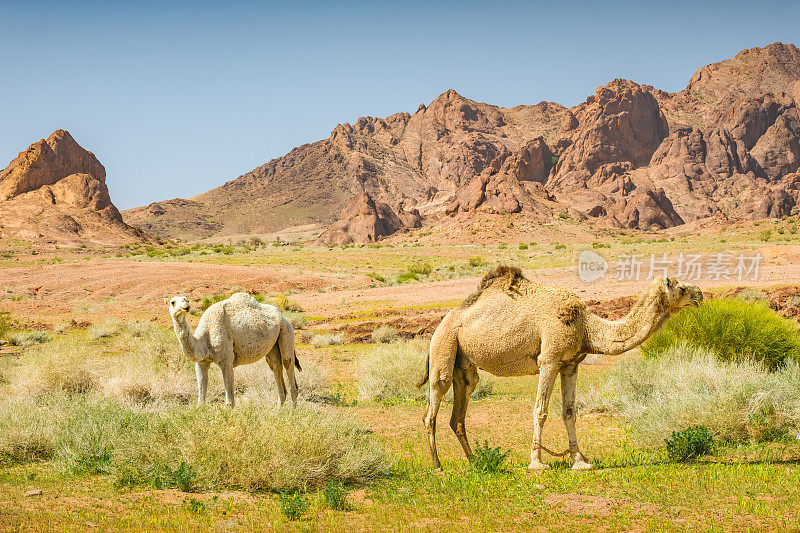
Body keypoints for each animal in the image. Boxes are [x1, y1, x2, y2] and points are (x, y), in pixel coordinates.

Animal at [165, 294, 300, 406]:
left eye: (187, 299)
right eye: (172, 302)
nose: (186, 305)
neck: (204, 337)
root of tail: (282, 316)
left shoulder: (226, 361)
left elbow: (230, 401)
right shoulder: (202, 362)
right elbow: (201, 400)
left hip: (286, 331)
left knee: (288, 364)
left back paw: (292, 412)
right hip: (273, 345)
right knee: (276, 367)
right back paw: (278, 410)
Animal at [418, 266, 700, 470]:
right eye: (682, 287)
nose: (699, 294)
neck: (586, 326)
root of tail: (442, 323)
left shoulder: (570, 364)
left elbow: (569, 412)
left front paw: (580, 460)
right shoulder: (549, 360)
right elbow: (541, 410)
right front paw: (536, 462)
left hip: (464, 367)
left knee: (458, 413)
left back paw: (476, 462)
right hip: (444, 347)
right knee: (432, 407)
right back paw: (437, 465)